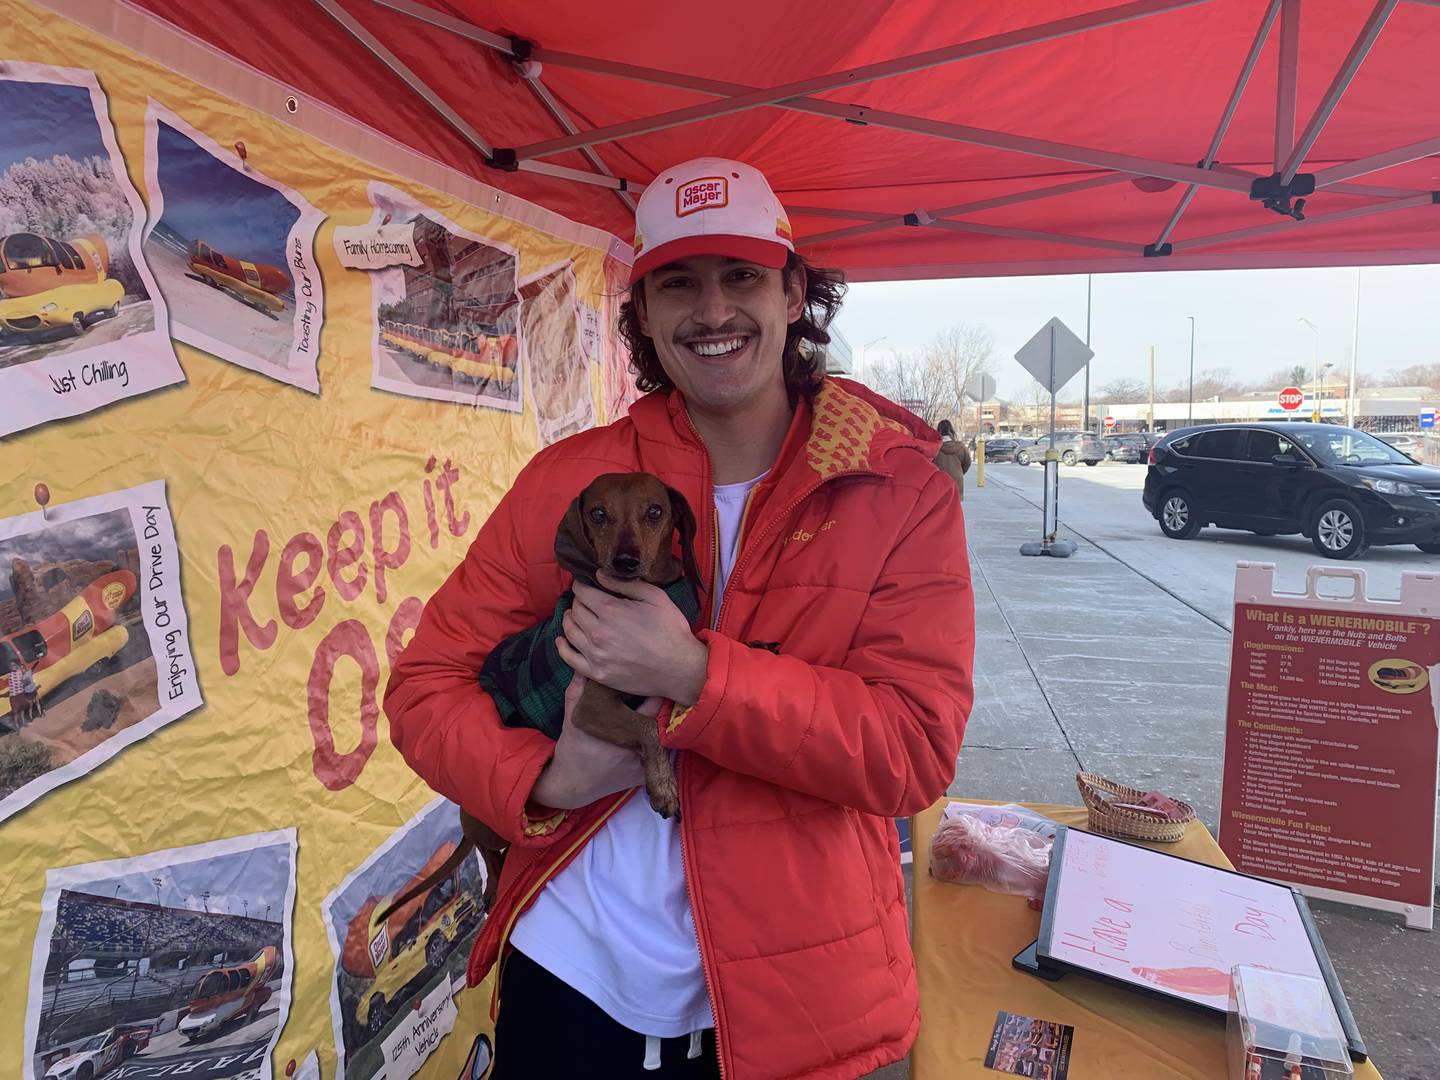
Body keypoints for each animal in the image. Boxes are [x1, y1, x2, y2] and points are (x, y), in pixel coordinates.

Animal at [380, 478, 699, 927]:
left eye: (655, 512)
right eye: (598, 514)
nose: (625, 561)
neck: (646, 593)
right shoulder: (589, 707)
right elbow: (645, 728)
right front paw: (663, 786)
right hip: (491, 824)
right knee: (489, 850)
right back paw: (494, 885)